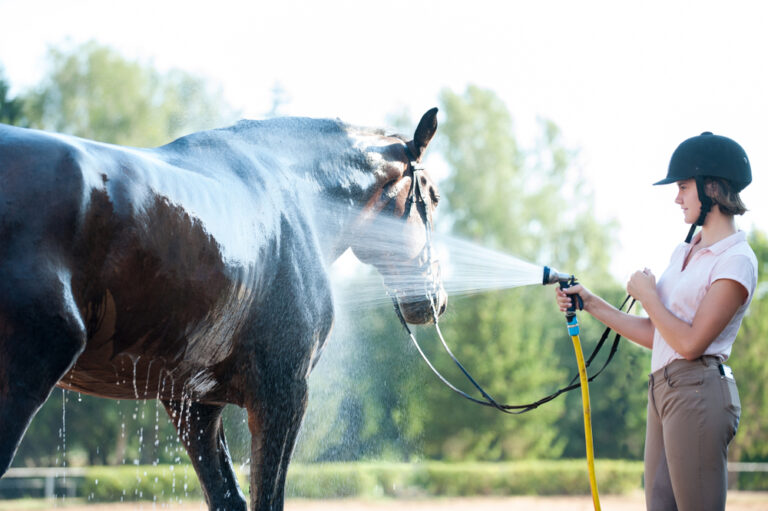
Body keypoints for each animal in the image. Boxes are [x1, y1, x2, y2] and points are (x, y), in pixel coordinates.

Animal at [0, 108, 446, 510]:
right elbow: (266, 498)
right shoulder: (282, 394)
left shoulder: (196, 403)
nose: (437, 301)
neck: (297, 191)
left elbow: (228, 497)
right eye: (433, 197)